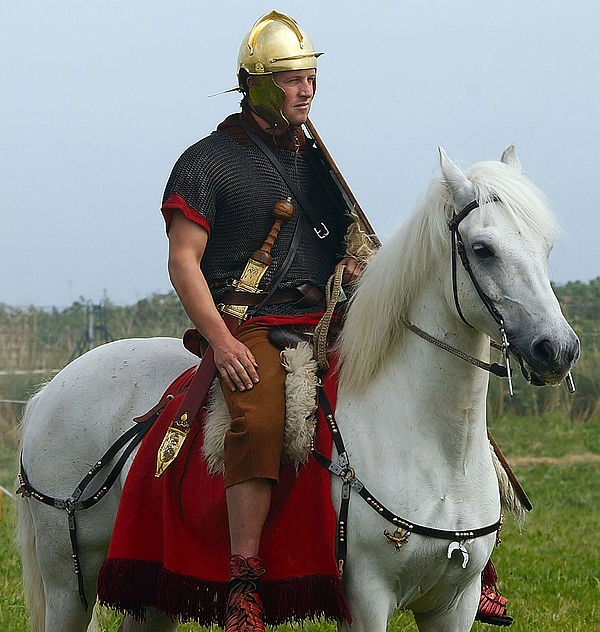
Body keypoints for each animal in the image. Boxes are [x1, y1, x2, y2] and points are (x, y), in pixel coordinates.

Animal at [17, 146, 576, 628]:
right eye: (483, 250)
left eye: (547, 247)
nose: (557, 349)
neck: (435, 450)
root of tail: (49, 391)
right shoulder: (366, 599)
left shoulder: (453, 604)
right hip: (68, 586)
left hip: (150, 586)